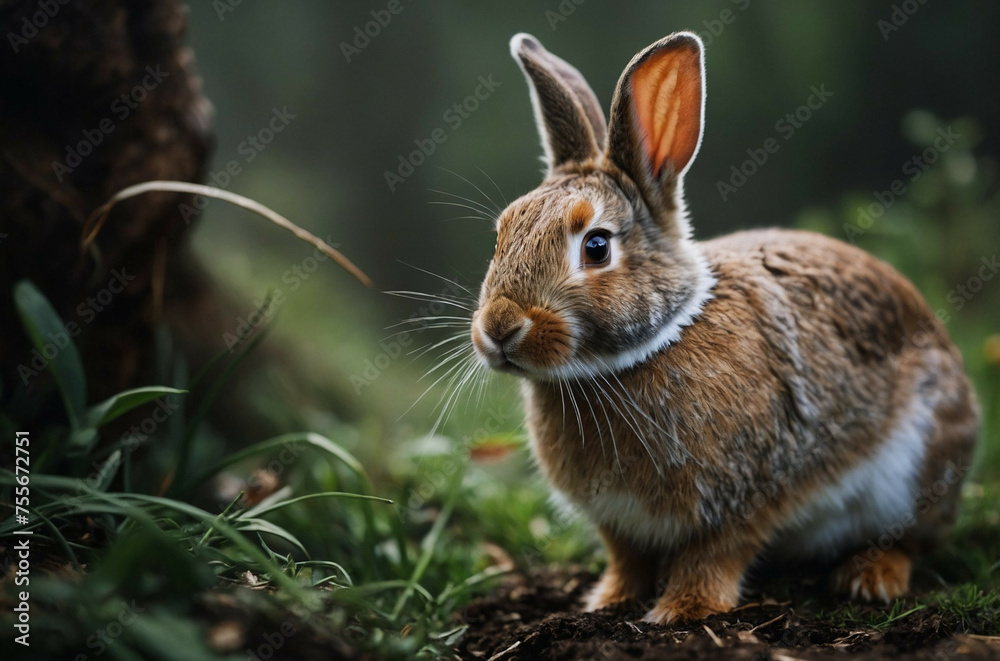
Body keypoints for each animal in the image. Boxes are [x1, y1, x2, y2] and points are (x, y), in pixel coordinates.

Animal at [469, 30, 980, 624]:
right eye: (502, 233)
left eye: (595, 247)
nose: (499, 328)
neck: (645, 348)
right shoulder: (619, 524)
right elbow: (627, 560)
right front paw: (607, 601)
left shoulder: (747, 493)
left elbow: (713, 555)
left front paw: (683, 611)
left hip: (917, 468)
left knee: (909, 540)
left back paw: (870, 577)